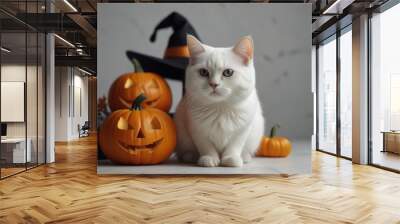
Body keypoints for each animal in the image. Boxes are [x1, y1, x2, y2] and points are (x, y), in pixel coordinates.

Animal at [173, 35, 264, 167]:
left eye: (228, 72)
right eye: (203, 72)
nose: (214, 84)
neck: (220, 108)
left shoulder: (242, 130)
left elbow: (234, 145)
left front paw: (231, 158)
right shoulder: (197, 129)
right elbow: (206, 146)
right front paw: (209, 158)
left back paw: (245, 157)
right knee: (185, 152)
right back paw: (191, 156)